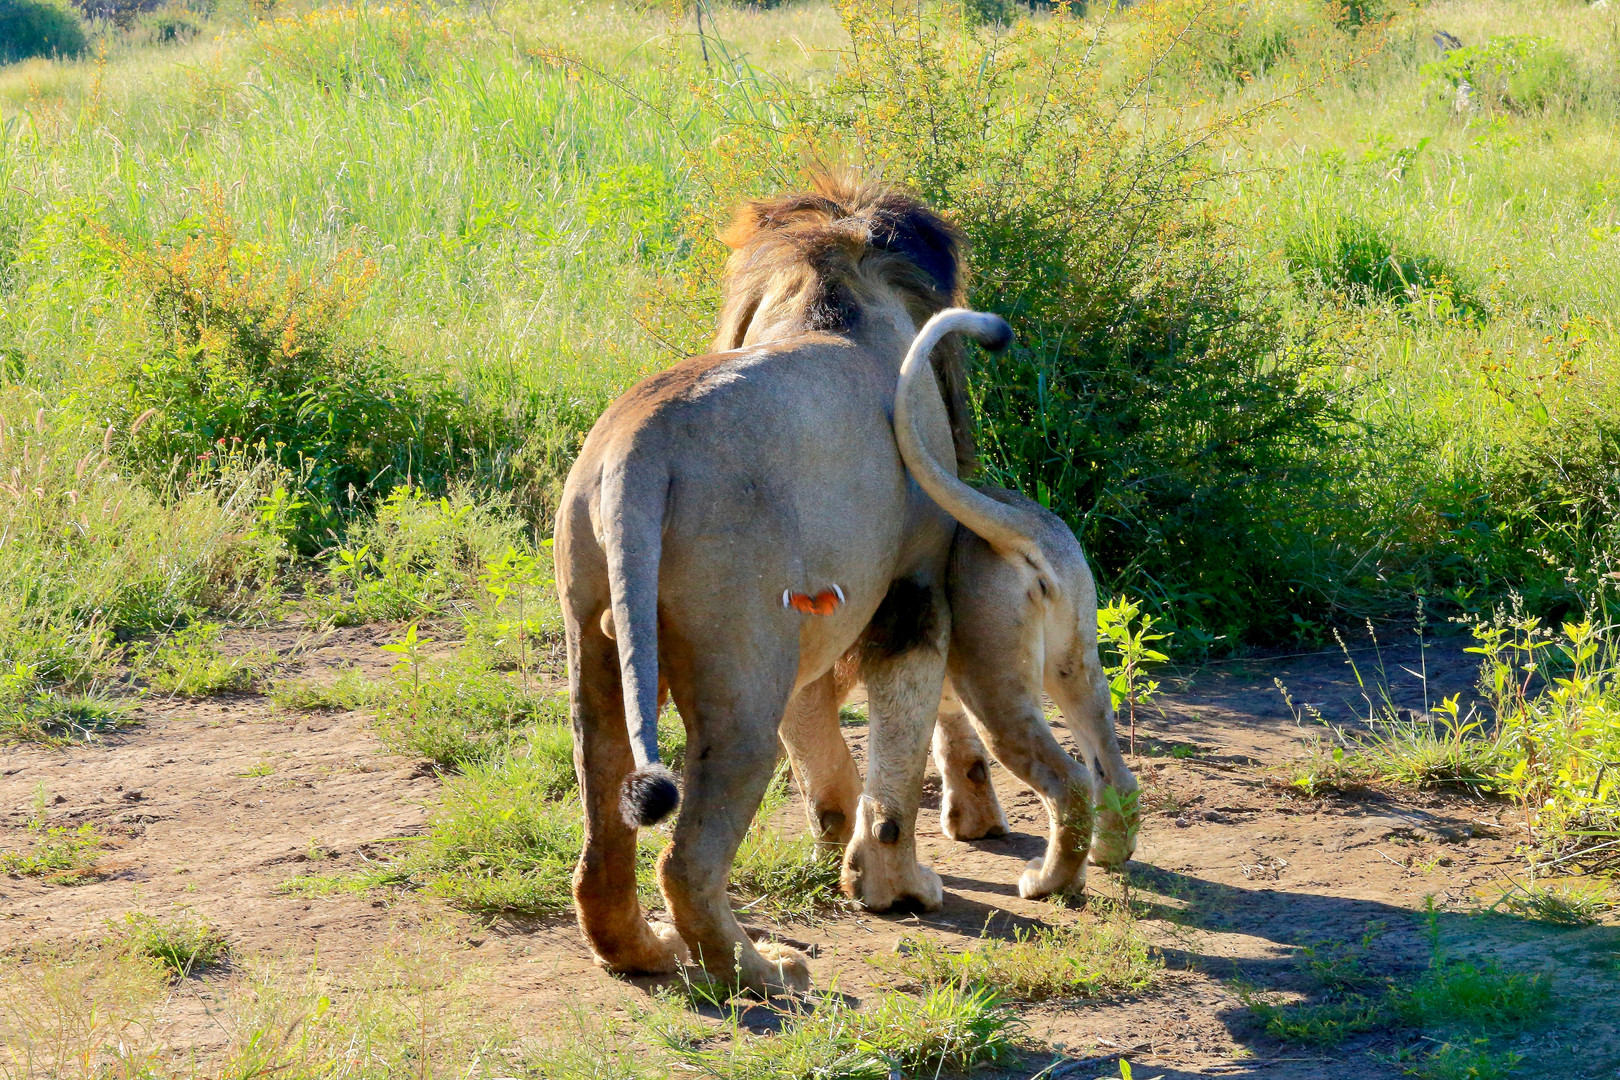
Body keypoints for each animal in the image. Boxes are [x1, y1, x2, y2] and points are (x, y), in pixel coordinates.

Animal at [550, 177, 1017, 997]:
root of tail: (638, 450)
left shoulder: (813, 620)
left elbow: (829, 751)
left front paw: (839, 846)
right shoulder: (913, 587)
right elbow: (902, 751)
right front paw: (895, 886)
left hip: (599, 648)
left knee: (602, 849)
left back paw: (649, 954)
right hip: (741, 686)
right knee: (686, 861)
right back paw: (765, 973)